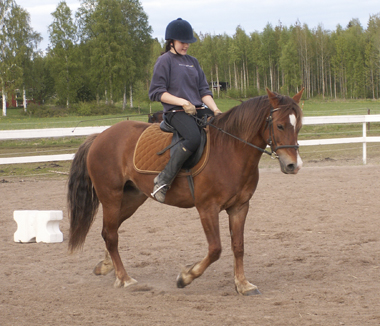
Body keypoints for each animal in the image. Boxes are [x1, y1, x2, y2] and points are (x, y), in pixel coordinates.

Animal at [68, 88, 304, 296]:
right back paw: (125, 278)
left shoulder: (239, 207)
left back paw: (107, 266)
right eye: (280, 125)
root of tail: (100, 135)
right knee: (111, 234)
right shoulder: (207, 208)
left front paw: (243, 285)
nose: (293, 165)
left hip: (132, 198)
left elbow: (238, 246)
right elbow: (215, 249)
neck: (230, 151)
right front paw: (186, 277)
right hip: (111, 196)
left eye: (299, 126)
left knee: (110, 230)